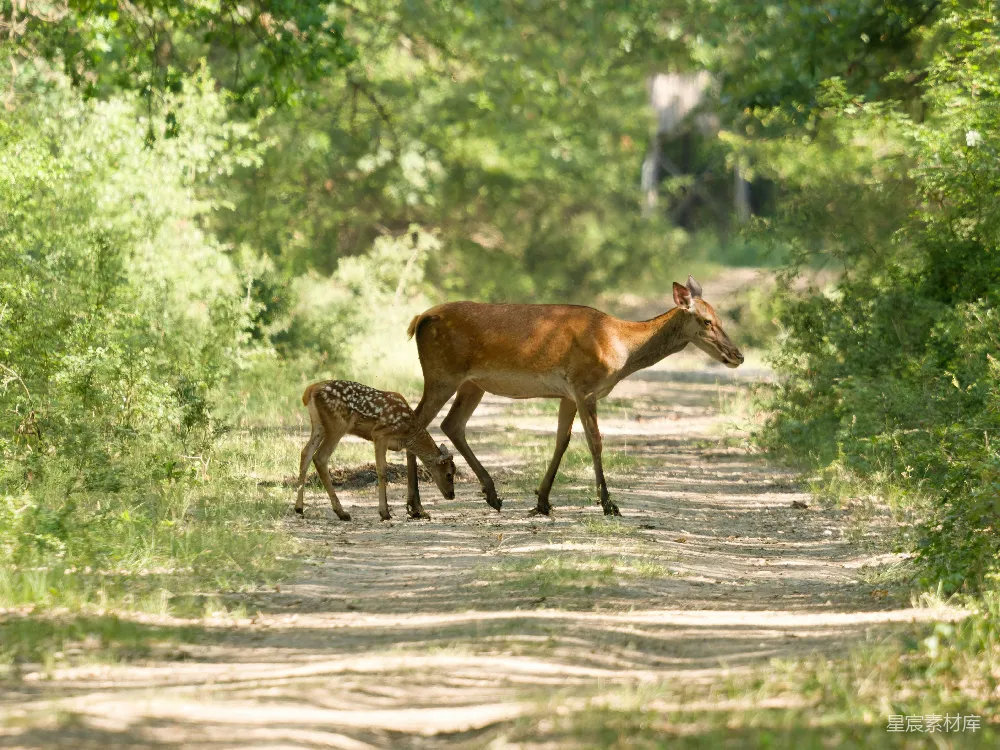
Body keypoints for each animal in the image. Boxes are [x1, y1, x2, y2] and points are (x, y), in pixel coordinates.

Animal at [295, 380, 456, 521]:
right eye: (448, 474)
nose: (452, 495)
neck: (409, 433)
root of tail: (311, 389)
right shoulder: (380, 433)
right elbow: (381, 469)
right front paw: (384, 513)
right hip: (337, 425)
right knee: (320, 457)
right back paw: (342, 513)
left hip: (319, 425)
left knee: (305, 453)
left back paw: (299, 508)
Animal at [403, 275, 743, 517]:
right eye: (707, 321)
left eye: (721, 318)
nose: (737, 355)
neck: (620, 346)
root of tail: (419, 318)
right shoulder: (584, 386)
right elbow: (595, 441)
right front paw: (608, 504)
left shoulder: (567, 394)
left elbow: (561, 441)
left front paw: (542, 502)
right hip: (442, 375)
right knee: (417, 423)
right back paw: (416, 507)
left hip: (472, 383)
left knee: (451, 424)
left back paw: (491, 495)